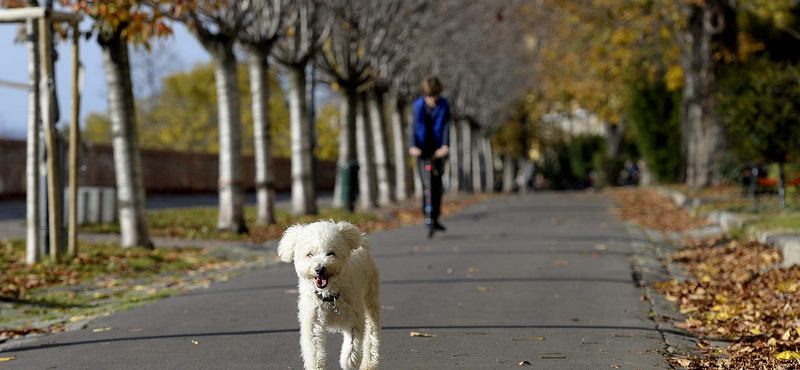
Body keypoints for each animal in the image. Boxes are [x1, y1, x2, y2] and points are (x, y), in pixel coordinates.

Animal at [278, 221, 382, 370]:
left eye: (331, 253)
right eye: (310, 254)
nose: (320, 269)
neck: (329, 296)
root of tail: (362, 244)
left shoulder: (355, 318)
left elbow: (353, 342)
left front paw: (349, 361)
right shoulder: (313, 322)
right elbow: (314, 350)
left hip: (370, 298)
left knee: (372, 334)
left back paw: (369, 364)